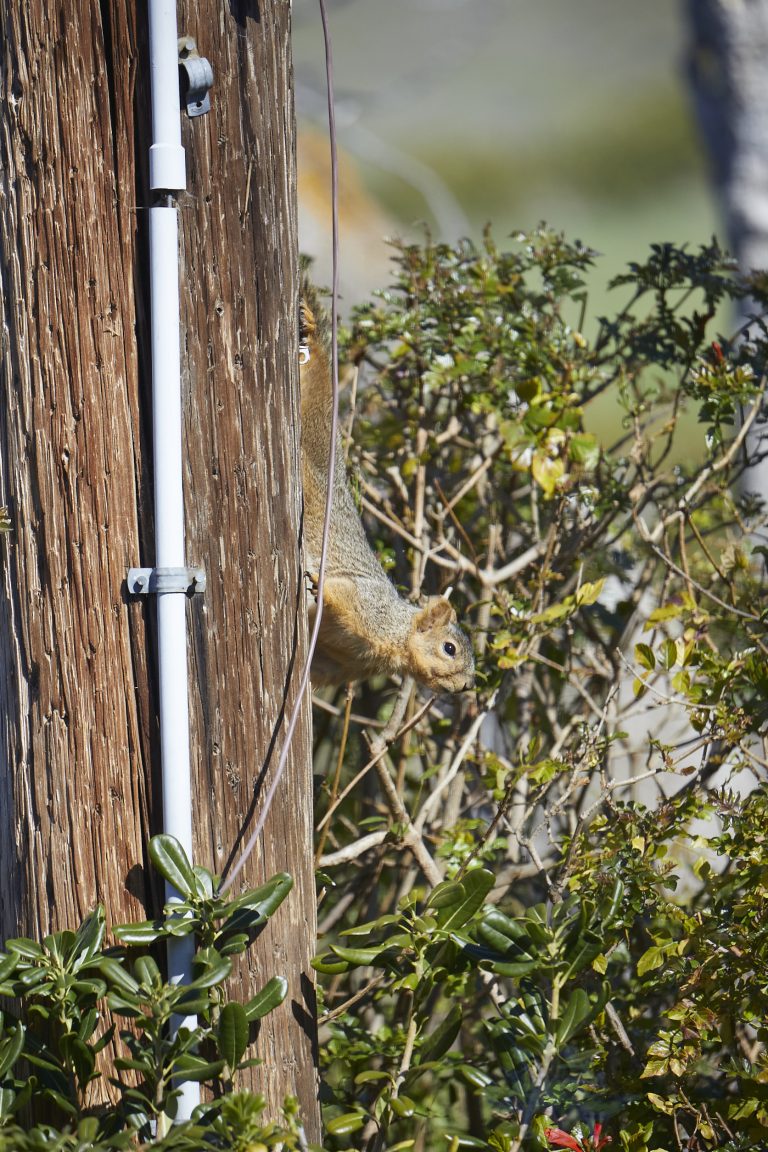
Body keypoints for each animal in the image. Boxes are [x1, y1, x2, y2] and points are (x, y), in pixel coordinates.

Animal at [299, 285, 475, 693]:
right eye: (449, 648)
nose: (464, 688)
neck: (396, 640)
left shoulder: (344, 664)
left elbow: (320, 670)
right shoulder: (368, 607)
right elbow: (338, 591)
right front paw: (318, 583)